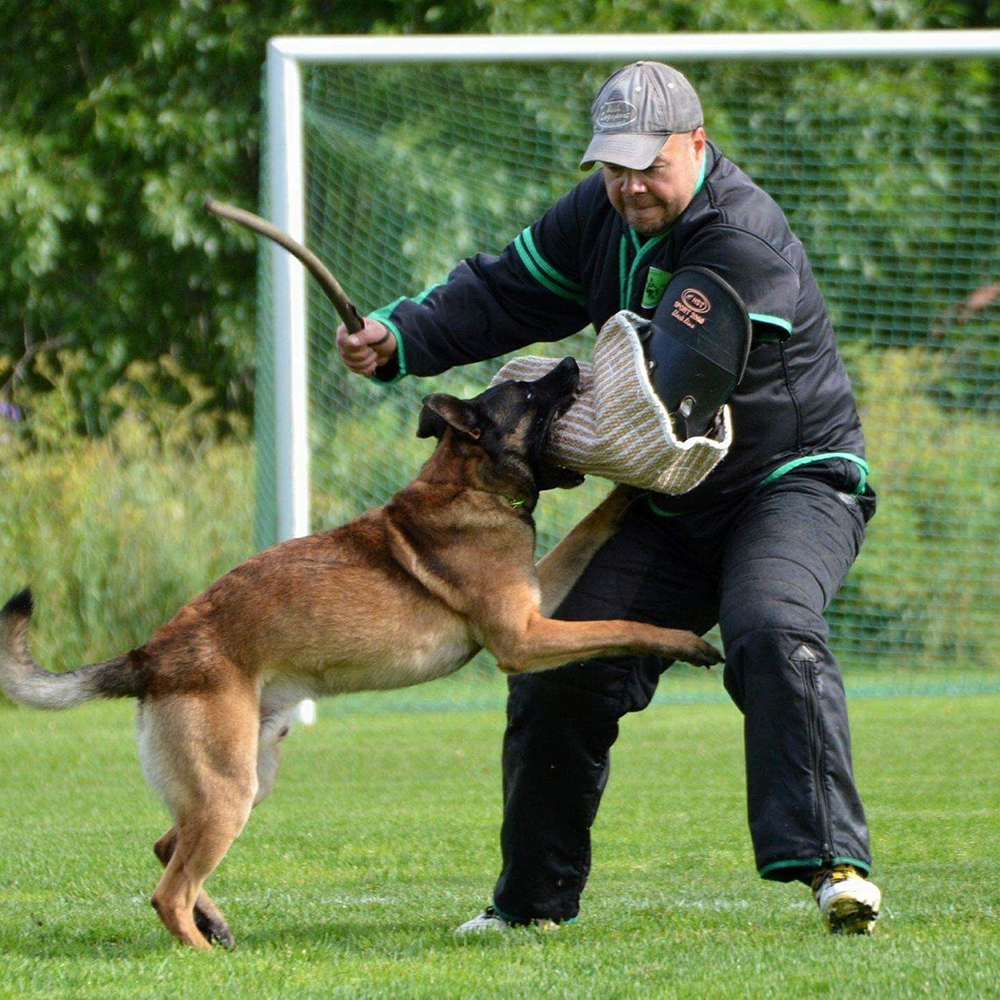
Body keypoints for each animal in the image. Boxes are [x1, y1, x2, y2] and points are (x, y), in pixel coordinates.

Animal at [0, 360, 720, 952]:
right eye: (528, 393)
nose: (571, 361)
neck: (469, 485)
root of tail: (150, 653)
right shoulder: (521, 639)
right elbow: (623, 622)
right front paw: (686, 642)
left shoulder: (539, 599)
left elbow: (591, 527)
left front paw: (632, 490)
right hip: (230, 789)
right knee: (167, 892)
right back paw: (204, 952)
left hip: (247, 776)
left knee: (166, 846)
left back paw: (218, 925)